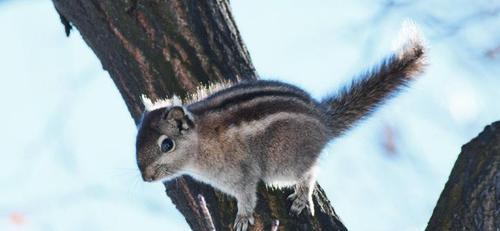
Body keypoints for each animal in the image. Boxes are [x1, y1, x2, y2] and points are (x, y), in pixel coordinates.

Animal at [136, 21, 426, 231]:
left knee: (310, 170)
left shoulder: (240, 173)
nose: (145, 177)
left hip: (283, 162)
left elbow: (247, 195)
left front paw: (243, 217)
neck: (200, 139)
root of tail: (323, 121)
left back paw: (302, 195)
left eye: (167, 144)